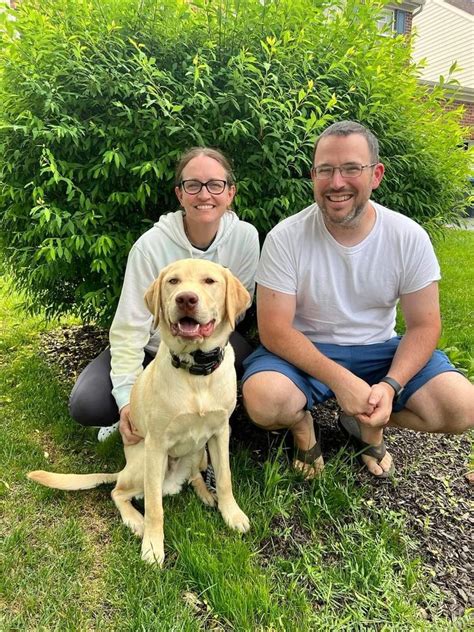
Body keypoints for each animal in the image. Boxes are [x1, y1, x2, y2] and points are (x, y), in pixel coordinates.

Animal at [28, 260, 252, 564]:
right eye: (173, 281)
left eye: (209, 281)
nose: (186, 299)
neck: (195, 372)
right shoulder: (156, 445)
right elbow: (156, 508)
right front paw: (153, 547)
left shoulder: (220, 432)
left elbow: (226, 478)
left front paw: (232, 514)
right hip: (142, 466)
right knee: (119, 492)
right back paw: (135, 520)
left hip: (198, 452)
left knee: (194, 475)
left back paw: (205, 494)